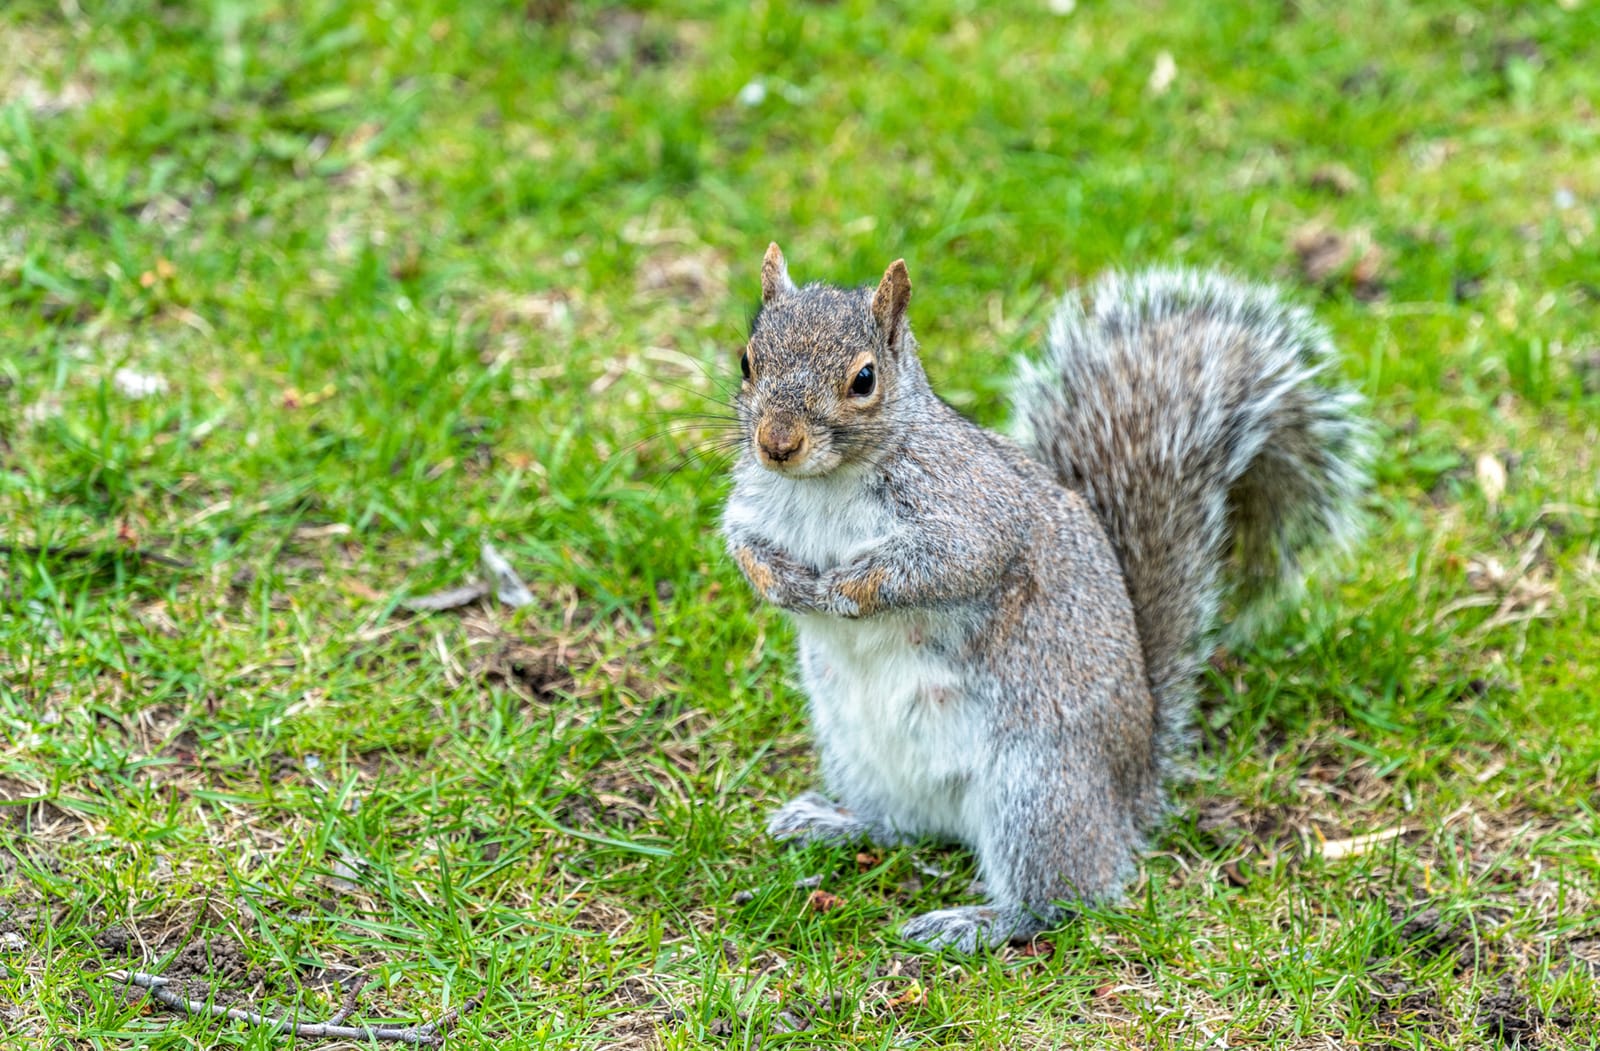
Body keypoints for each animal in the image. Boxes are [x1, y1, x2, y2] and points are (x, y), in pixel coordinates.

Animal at [721, 243, 1368, 952]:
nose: (776, 445)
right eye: (748, 358)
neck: (824, 483)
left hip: (1035, 789)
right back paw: (836, 823)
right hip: (860, 755)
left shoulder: (974, 513)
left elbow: (947, 564)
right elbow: (743, 545)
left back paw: (976, 922)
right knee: (902, 825)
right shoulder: (750, 504)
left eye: (864, 380)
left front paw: (844, 588)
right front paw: (782, 582)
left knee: (1059, 898)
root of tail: (1130, 794)